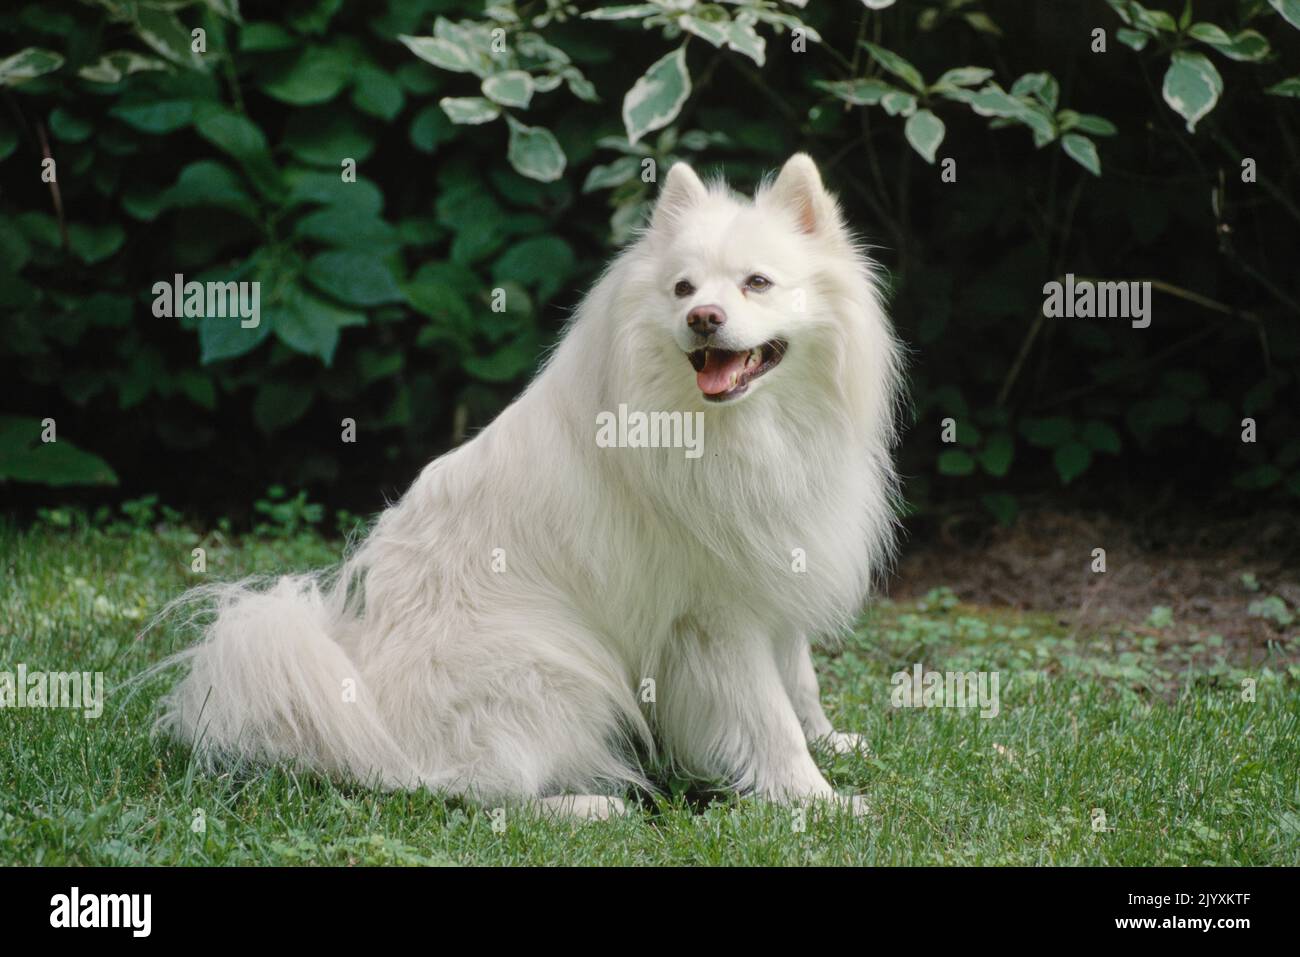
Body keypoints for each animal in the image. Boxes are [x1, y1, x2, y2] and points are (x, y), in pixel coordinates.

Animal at [157, 153, 899, 816]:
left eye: (757, 282)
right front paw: (817, 798)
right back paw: (592, 806)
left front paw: (829, 741)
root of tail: (367, 725)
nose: (703, 319)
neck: (742, 425)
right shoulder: (716, 615)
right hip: (553, 670)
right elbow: (767, 716)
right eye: (684, 290)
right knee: (469, 792)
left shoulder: (773, 570)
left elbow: (798, 680)